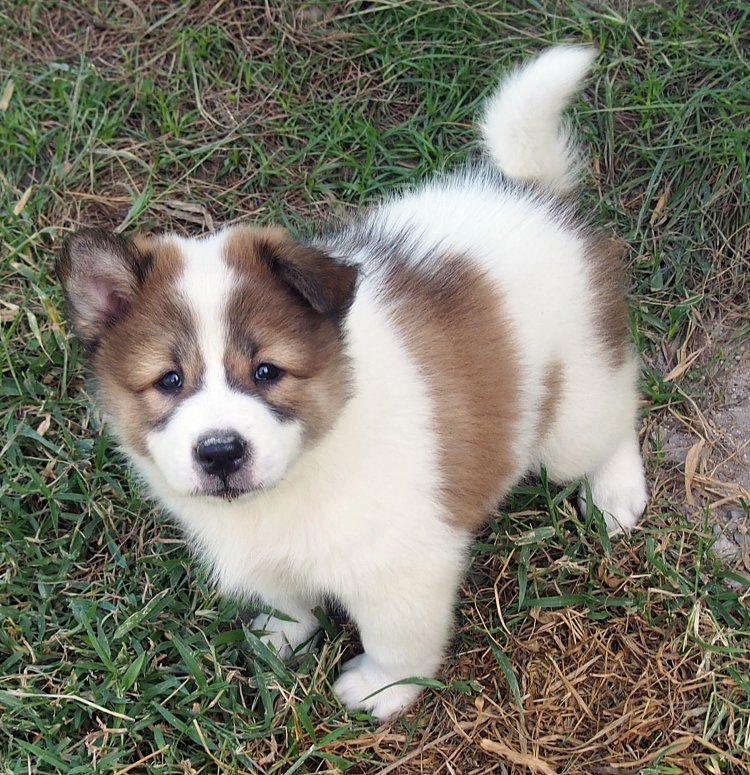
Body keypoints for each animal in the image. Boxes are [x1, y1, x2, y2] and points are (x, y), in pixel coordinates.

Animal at [57, 46, 648, 720]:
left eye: (267, 372)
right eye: (169, 380)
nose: (220, 452)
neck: (303, 469)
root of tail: (529, 195)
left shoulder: (403, 569)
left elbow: (397, 640)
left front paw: (380, 690)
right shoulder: (266, 556)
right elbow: (284, 598)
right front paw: (282, 635)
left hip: (573, 405)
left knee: (616, 411)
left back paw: (616, 492)